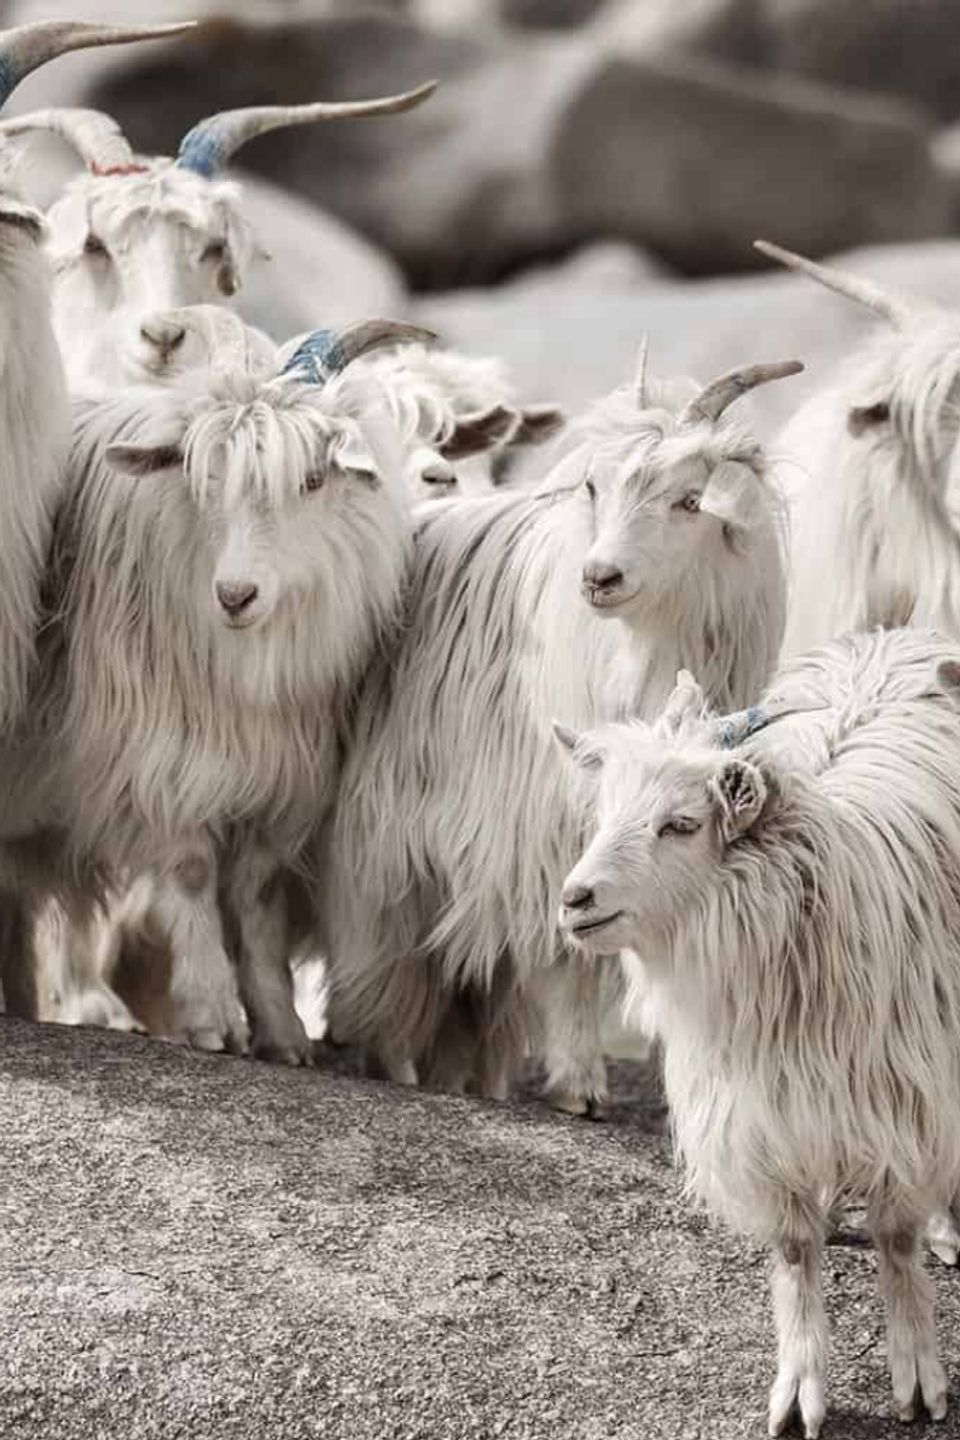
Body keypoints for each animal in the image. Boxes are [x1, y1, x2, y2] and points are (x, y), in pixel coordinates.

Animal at [322, 348, 799, 1111]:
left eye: (689, 501)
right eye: (594, 486)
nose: (600, 576)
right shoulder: (532, 825)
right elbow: (563, 945)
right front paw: (579, 1086)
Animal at [558, 626, 960, 1435]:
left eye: (681, 825)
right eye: (605, 811)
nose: (575, 897)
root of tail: (896, 636)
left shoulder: (906, 1103)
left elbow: (898, 1240)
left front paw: (917, 1376)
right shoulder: (760, 1119)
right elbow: (797, 1253)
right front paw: (800, 1390)